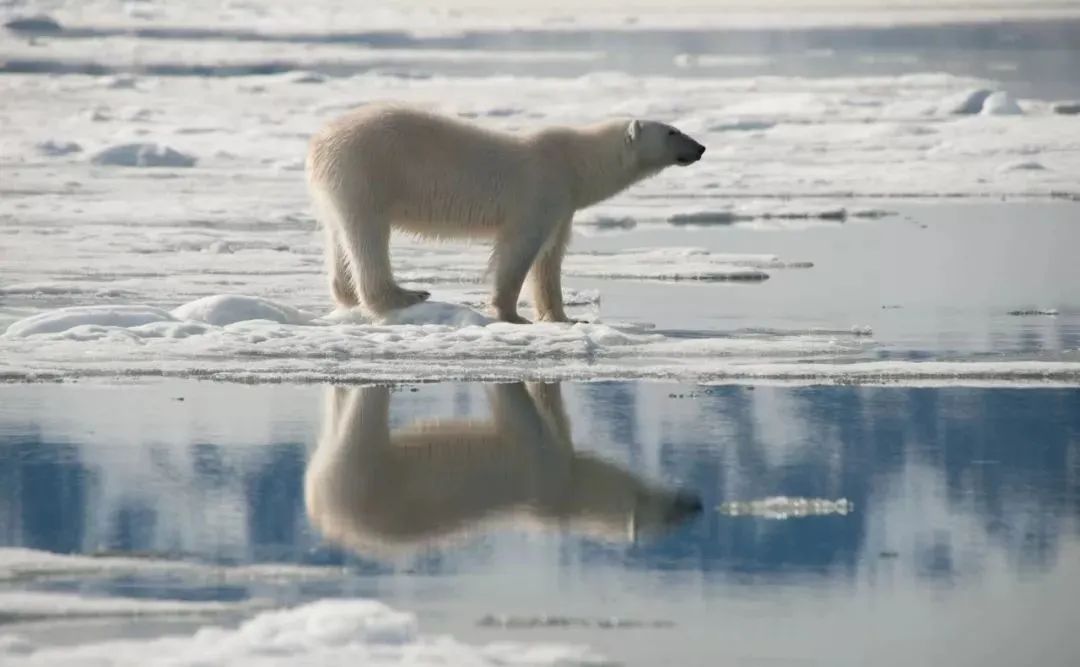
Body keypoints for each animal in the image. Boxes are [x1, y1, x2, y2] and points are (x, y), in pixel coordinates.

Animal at [304, 103, 708, 321]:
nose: (701, 147)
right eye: (672, 131)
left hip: (335, 187)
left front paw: (563, 317)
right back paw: (406, 295)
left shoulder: (562, 205)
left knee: (339, 236)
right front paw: (511, 315)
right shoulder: (539, 191)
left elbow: (551, 258)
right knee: (367, 235)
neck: (574, 163)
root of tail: (318, 141)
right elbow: (520, 251)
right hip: (366, 170)